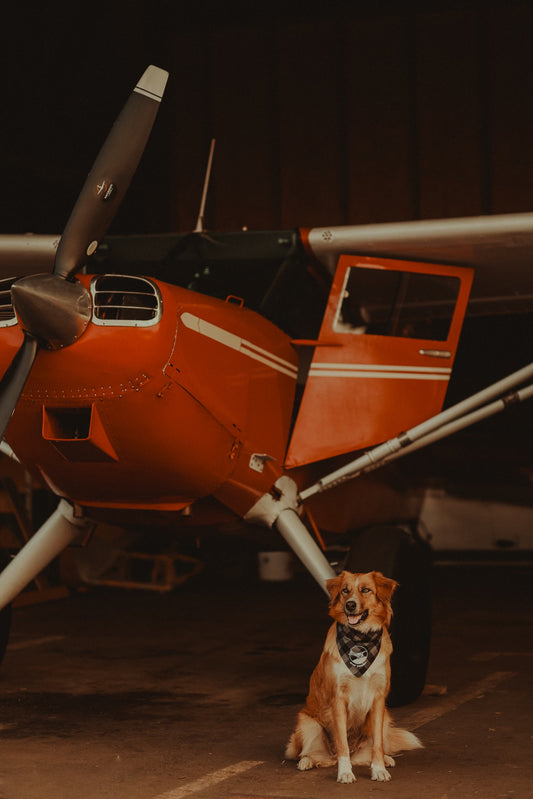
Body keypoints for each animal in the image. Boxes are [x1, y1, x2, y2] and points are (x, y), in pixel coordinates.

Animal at [284, 572, 422, 784]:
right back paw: (306, 761)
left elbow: (378, 745)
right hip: (307, 723)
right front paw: (345, 773)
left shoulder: (378, 700)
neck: (360, 638)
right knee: (310, 754)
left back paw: (386, 759)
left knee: (367, 753)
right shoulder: (338, 699)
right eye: (345, 590)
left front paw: (379, 769)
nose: (350, 605)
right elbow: (343, 744)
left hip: (385, 719)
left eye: (365, 590)